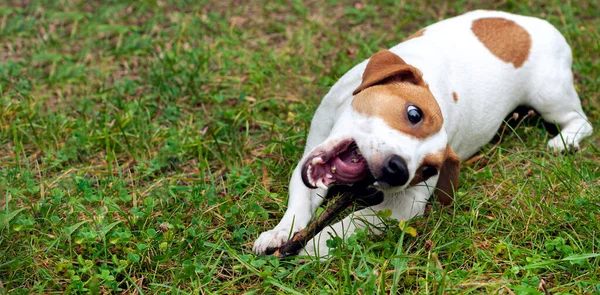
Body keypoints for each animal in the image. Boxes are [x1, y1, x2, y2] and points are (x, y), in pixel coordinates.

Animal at [251, 10, 592, 258]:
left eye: (429, 169)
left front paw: (315, 246)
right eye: (414, 113)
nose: (398, 169)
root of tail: (546, 26)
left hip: (550, 96)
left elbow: (352, 222)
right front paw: (279, 233)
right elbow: (299, 202)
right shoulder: (311, 156)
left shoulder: (404, 206)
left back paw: (563, 141)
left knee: (581, 121)